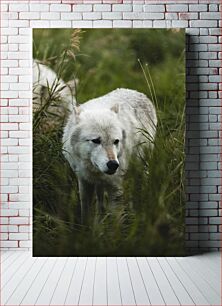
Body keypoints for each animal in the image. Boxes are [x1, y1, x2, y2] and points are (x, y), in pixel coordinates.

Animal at [62, 87, 157, 221]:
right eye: (96, 140)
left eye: (116, 141)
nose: (113, 165)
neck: (94, 171)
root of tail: (138, 92)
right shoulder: (84, 181)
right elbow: (86, 213)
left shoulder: (115, 186)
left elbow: (116, 219)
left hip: (141, 167)